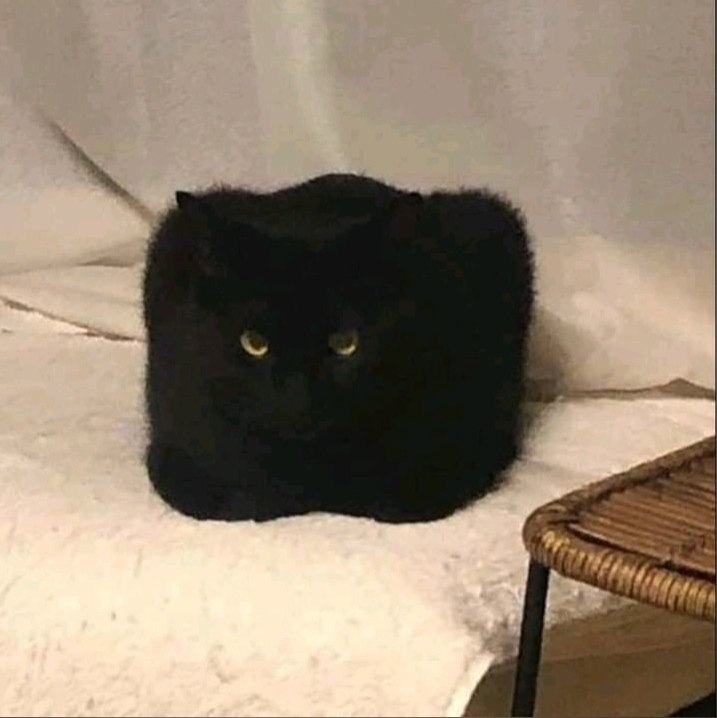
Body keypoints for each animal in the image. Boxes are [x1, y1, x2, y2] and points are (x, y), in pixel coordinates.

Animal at [143, 173, 534, 523]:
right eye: (254, 343)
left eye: (346, 343)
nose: (298, 398)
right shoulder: (174, 450)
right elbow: (235, 499)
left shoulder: (471, 449)